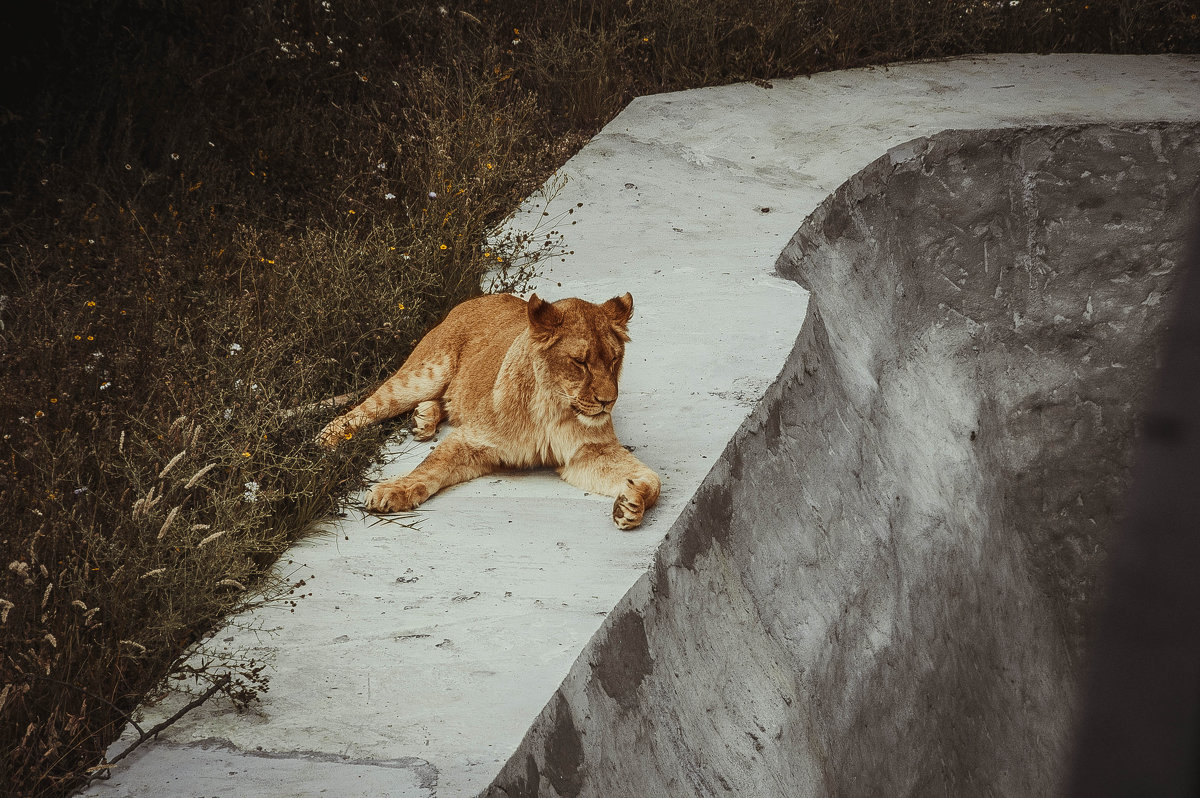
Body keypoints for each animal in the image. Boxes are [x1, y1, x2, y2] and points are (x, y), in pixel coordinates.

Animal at [314, 292, 662, 528]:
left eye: (614, 359)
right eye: (580, 362)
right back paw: (326, 441)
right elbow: (429, 467)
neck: (552, 409)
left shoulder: (588, 452)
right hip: (424, 374)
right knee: (366, 407)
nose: (607, 401)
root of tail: (476, 297)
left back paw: (424, 419)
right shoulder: (472, 438)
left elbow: (654, 479)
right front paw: (393, 491)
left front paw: (631, 503)